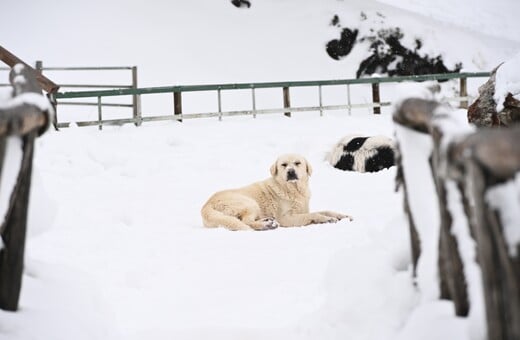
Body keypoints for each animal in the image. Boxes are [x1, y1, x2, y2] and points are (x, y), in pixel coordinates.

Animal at [201, 154, 352, 231]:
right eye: (284, 165)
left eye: (297, 163)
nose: (291, 172)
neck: (293, 190)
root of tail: (206, 206)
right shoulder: (286, 218)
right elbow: (313, 214)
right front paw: (325, 219)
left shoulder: (303, 209)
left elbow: (326, 210)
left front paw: (343, 216)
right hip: (250, 203)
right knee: (247, 222)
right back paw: (266, 225)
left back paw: (268, 222)